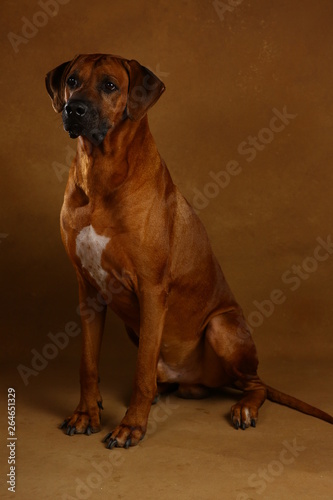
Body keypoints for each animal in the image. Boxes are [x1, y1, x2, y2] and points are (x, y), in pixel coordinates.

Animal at [44, 54, 332, 450]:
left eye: (109, 85)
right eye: (72, 80)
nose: (74, 109)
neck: (101, 170)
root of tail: (199, 380)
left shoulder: (151, 290)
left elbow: (141, 372)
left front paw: (131, 426)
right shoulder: (88, 290)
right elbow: (87, 364)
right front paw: (87, 413)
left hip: (221, 327)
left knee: (253, 384)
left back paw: (244, 407)